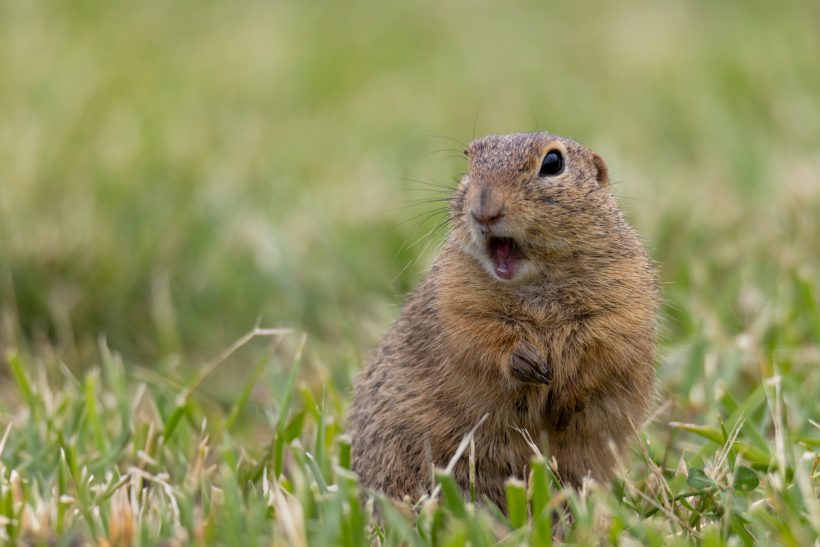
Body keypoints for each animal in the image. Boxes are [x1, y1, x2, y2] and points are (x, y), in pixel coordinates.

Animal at [346, 131, 660, 512]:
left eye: (553, 163)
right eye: (469, 159)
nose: (484, 211)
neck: (536, 281)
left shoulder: (623, 303)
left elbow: (603, 352)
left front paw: (566, 397)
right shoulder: (457, 302)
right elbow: (482, 339)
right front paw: (526, 362)